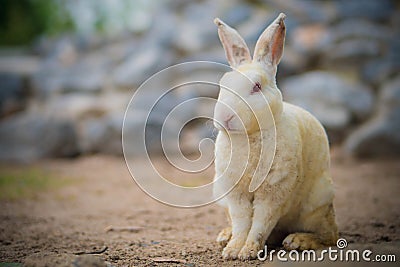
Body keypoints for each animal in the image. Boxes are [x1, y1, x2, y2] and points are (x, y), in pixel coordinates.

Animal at [212, 13, 338, 260]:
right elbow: (242, 222)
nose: (224, 116)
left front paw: (248, 251)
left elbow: (260, 223)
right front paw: (233, 250)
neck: (249, 135)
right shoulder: (235, 195)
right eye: (223, 84)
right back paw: (224, 236)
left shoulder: (273, 194)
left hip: (317, 205)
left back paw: (297, 241)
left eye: (257, 86)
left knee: (329, 236)